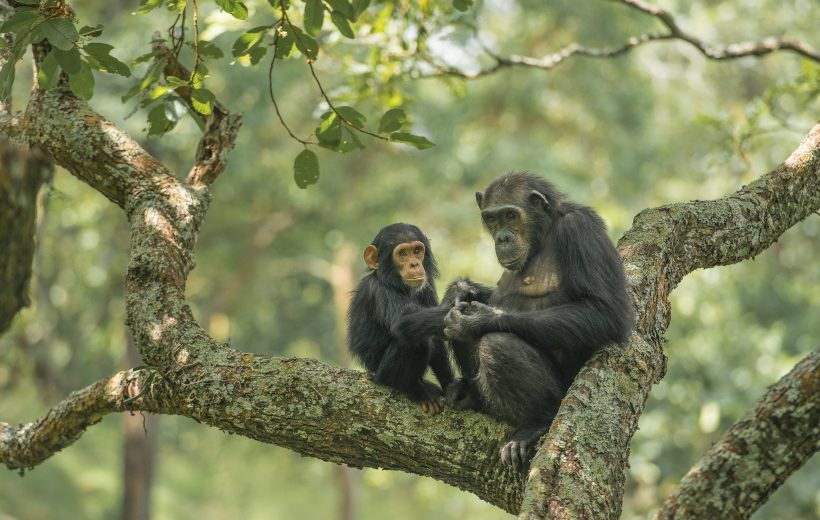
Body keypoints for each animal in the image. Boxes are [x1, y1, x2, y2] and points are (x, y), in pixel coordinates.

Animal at [346, 222, 454, 414]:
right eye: (402, 253)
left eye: (417, 250)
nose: (414, 264)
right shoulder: (378, 291)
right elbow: (404, 321)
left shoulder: (427, 287)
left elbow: (436, 339)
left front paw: (455, 388)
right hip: (382, 375)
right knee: (414, 339)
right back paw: (416, 390)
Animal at [400, 172, 632, 468]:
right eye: (491, 218)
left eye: (510, 215)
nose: (502, 237)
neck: (543, 233)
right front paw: (459, 289)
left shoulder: (581, 230)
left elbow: (603, 311)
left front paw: (479, 320)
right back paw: (470, 395)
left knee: (496, 345)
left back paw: (536, 424)